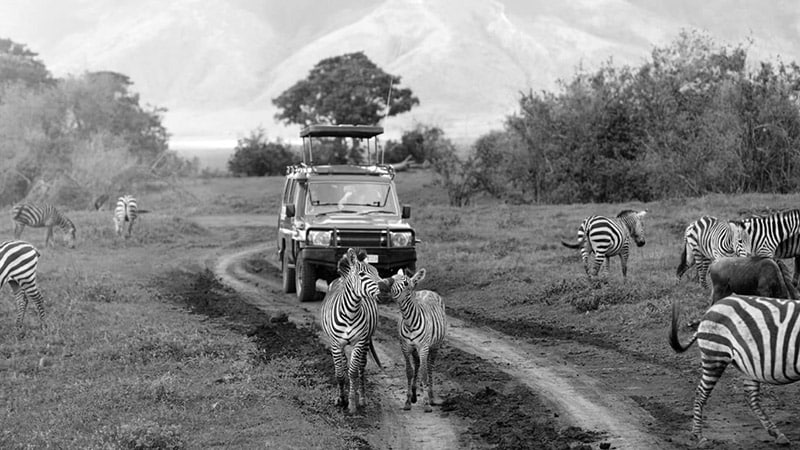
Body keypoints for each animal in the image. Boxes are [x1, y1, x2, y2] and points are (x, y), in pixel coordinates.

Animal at [318, 248, 382, 414]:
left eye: (377, 272)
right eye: (362, 274)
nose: (385, 287)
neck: (350, 312)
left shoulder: (359, 342)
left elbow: (352, 372)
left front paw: (352, 404)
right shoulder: (335, 344)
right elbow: (340, 373)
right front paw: (340, 399)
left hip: (365, 342)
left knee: (361, 367)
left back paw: (362, 399)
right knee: (343, 365)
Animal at [378, 268, 446, 412]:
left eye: (405, 283)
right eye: (392, 276)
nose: (381, 284)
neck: (409, 321)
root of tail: (428, 290)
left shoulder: (423, 347)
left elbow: (424, 373)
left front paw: (426, 403)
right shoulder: (405, 347)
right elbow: (409, 372)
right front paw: (408, 401)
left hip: (435, 346)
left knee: (430, 367)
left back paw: (431, 397)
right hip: (415, 350)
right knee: (417, 364)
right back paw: (415, 394)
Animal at [668, 296, 800, 446]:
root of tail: (711, 309)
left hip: (748, 366)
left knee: (750, 396)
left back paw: (777, 433)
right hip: (715, 356)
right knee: (701, 392)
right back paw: (698, 436)